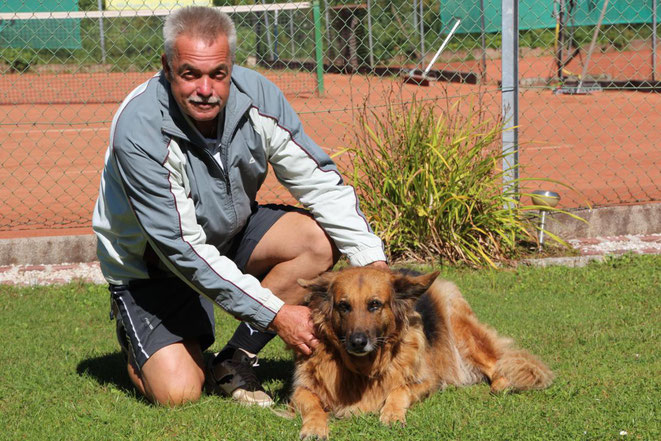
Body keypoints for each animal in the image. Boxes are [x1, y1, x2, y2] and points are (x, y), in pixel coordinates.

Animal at [292, 266, 556, 438]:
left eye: (374, 304)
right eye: (343, 306)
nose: (358, 342)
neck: (364, 368)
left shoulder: (427, 380)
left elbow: (400, 390)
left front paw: (392, 414)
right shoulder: (301, 389)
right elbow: (313, 405)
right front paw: (314, 427)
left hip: (461, 333)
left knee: (496, 363)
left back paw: (501, 384)